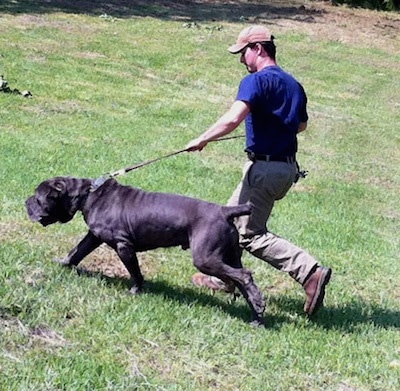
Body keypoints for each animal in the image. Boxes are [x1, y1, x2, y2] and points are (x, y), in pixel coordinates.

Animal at [27, 178, 266, 324]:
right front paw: (63, 264)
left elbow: (135, 272)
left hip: (205, 258)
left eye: (38, 197)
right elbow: (76, 251)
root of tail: (225, 211)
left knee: (244, 275)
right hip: (229, 256)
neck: (88, 195)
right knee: (241, 281)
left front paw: (135, 290)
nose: (26, 200)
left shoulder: (124, 246)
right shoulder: (93, 237)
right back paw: (257, 314)